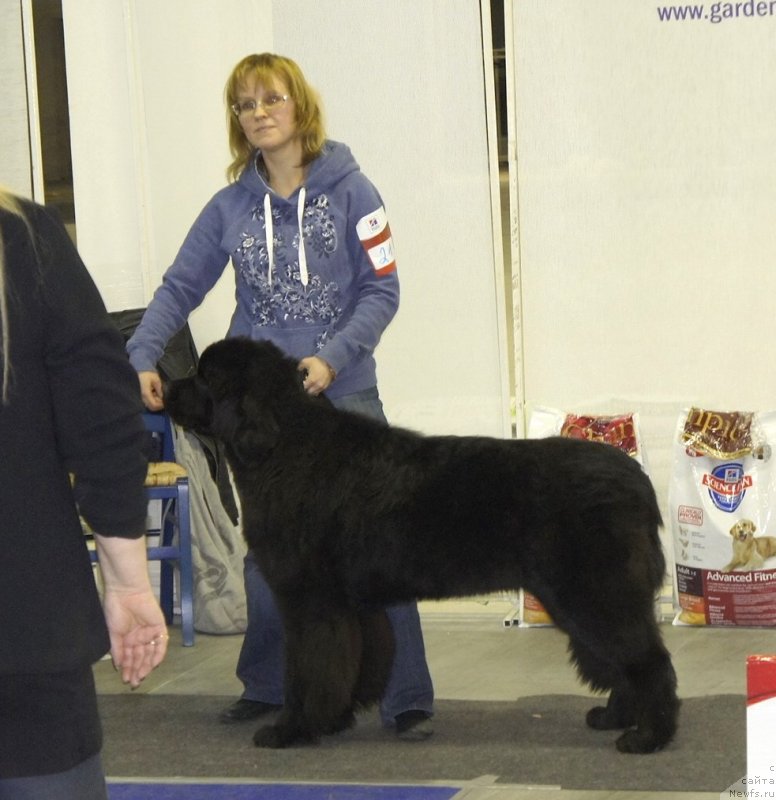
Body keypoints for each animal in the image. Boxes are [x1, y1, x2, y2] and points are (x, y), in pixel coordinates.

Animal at [165, 338, 680, 756]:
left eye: (205, 376)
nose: (163, 388)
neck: (284, 448)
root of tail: (636, 479)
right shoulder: (352, 605)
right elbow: (351, 663)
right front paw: (334, 719)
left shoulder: (309, 599)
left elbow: (306, 670)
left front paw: (290, 729)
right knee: (628, 660)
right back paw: (616, 718)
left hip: (593, 594)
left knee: (650, 661)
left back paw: (647, 737)